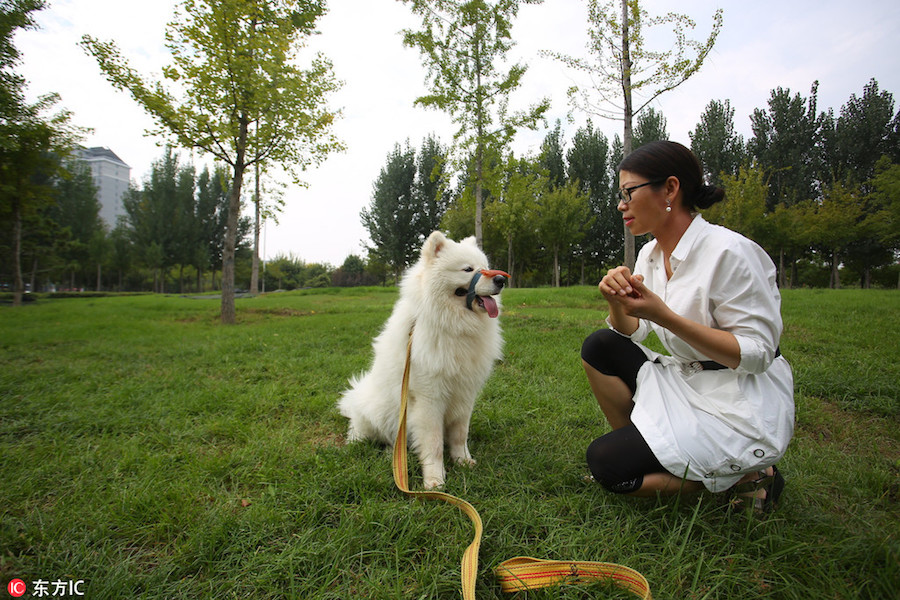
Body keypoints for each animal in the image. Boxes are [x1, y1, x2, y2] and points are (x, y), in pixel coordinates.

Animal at [338, 230, 506, 488]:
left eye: (485, 267)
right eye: (468, 269)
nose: (500, 280)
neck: (455, 327)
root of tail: (356, 397)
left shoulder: (465, 394)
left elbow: (460, 435)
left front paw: (462, 461)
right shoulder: (429, 399)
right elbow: (434, 444)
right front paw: (434, 480)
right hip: (375, 414)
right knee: (366, 433)